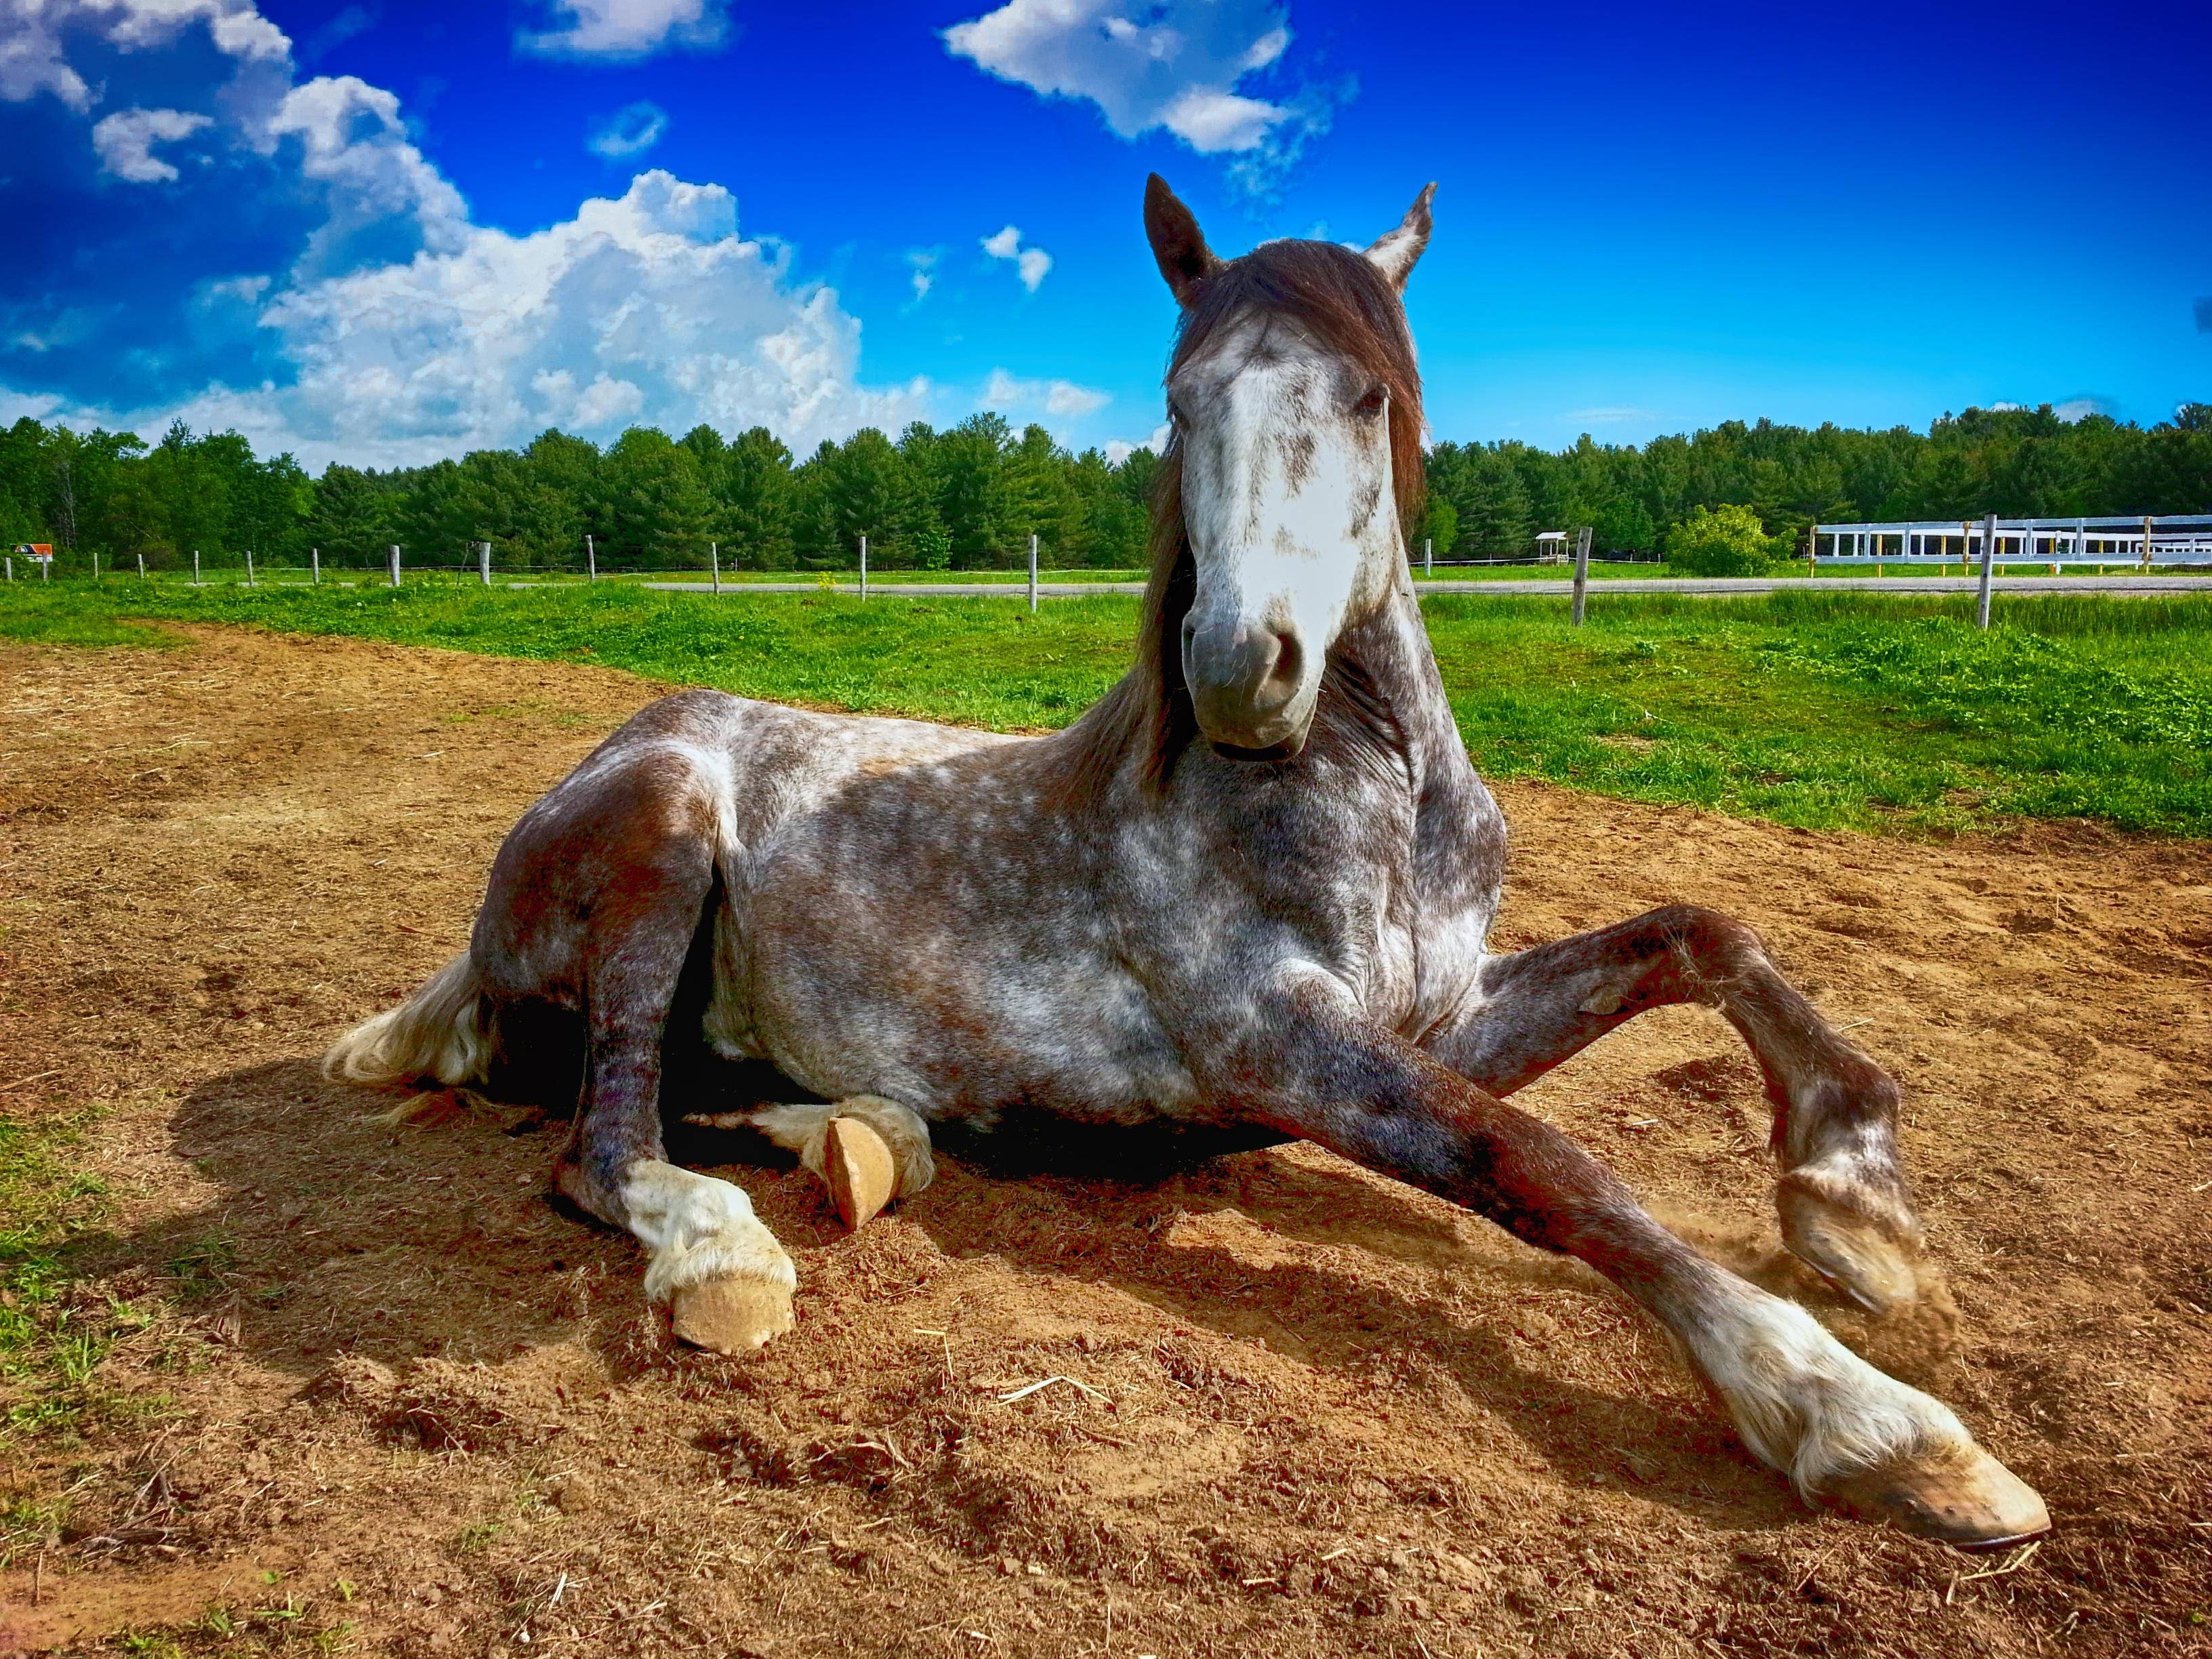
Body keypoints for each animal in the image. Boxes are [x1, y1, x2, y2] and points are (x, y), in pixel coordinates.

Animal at [327, 176, 2052, 1557]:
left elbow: (1702, 933)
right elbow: (1541, 1161)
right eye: (1180, 401)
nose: (1240, 670)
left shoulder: (1440, 1009)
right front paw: (1870, 1420)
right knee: (601, 1134)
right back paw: (722, 1251)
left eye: (1366, 397)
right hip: (668, 832)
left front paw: (1857, 1205)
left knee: (705, 1092)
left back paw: (868, 1139)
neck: (1370, 802)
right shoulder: (1274, 1043)